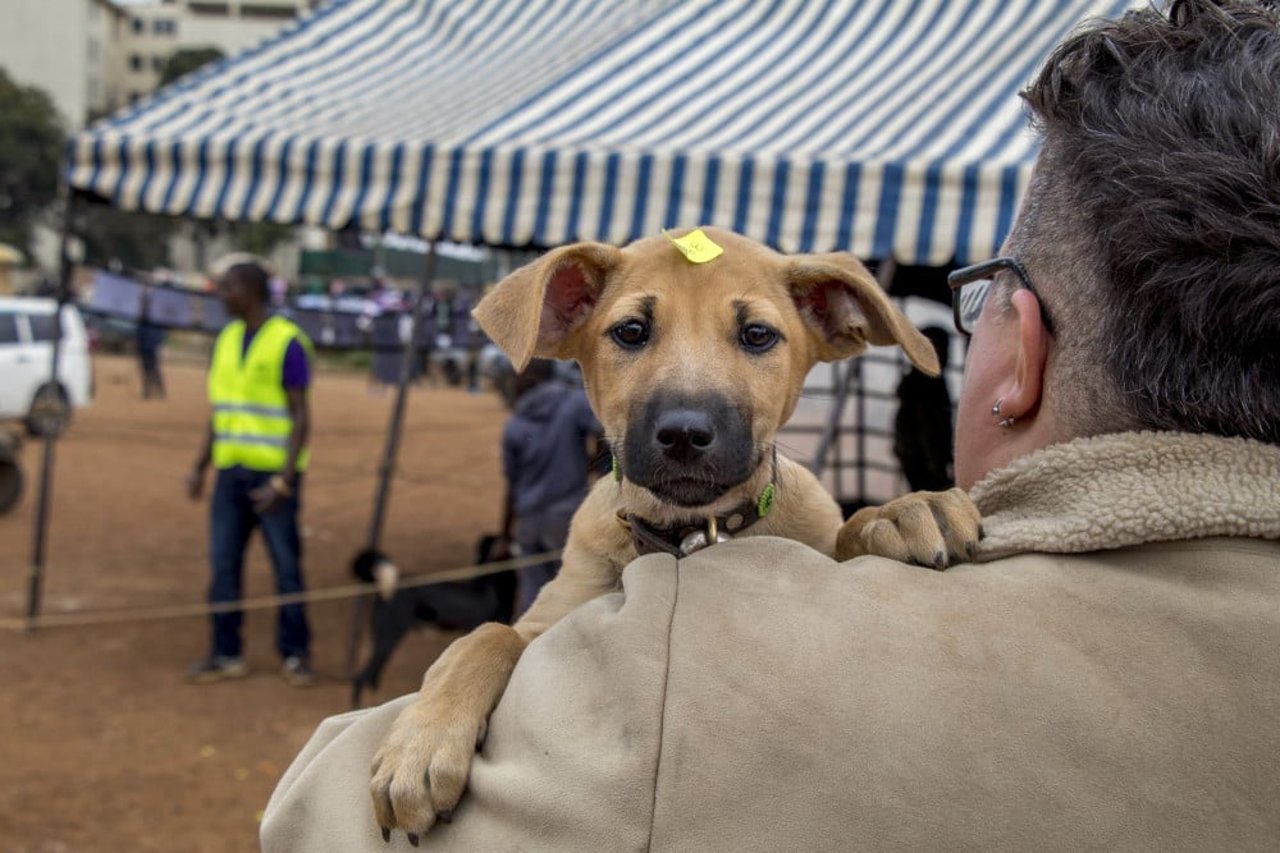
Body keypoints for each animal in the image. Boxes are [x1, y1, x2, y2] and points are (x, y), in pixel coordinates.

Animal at [371, 225, 977, 835]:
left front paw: (901, 511)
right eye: (631, 331)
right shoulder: (547, 618)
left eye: (757, 335)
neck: (688, 537)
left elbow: (847, 532)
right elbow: (486, 635)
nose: (685, 433)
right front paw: (420, 745)